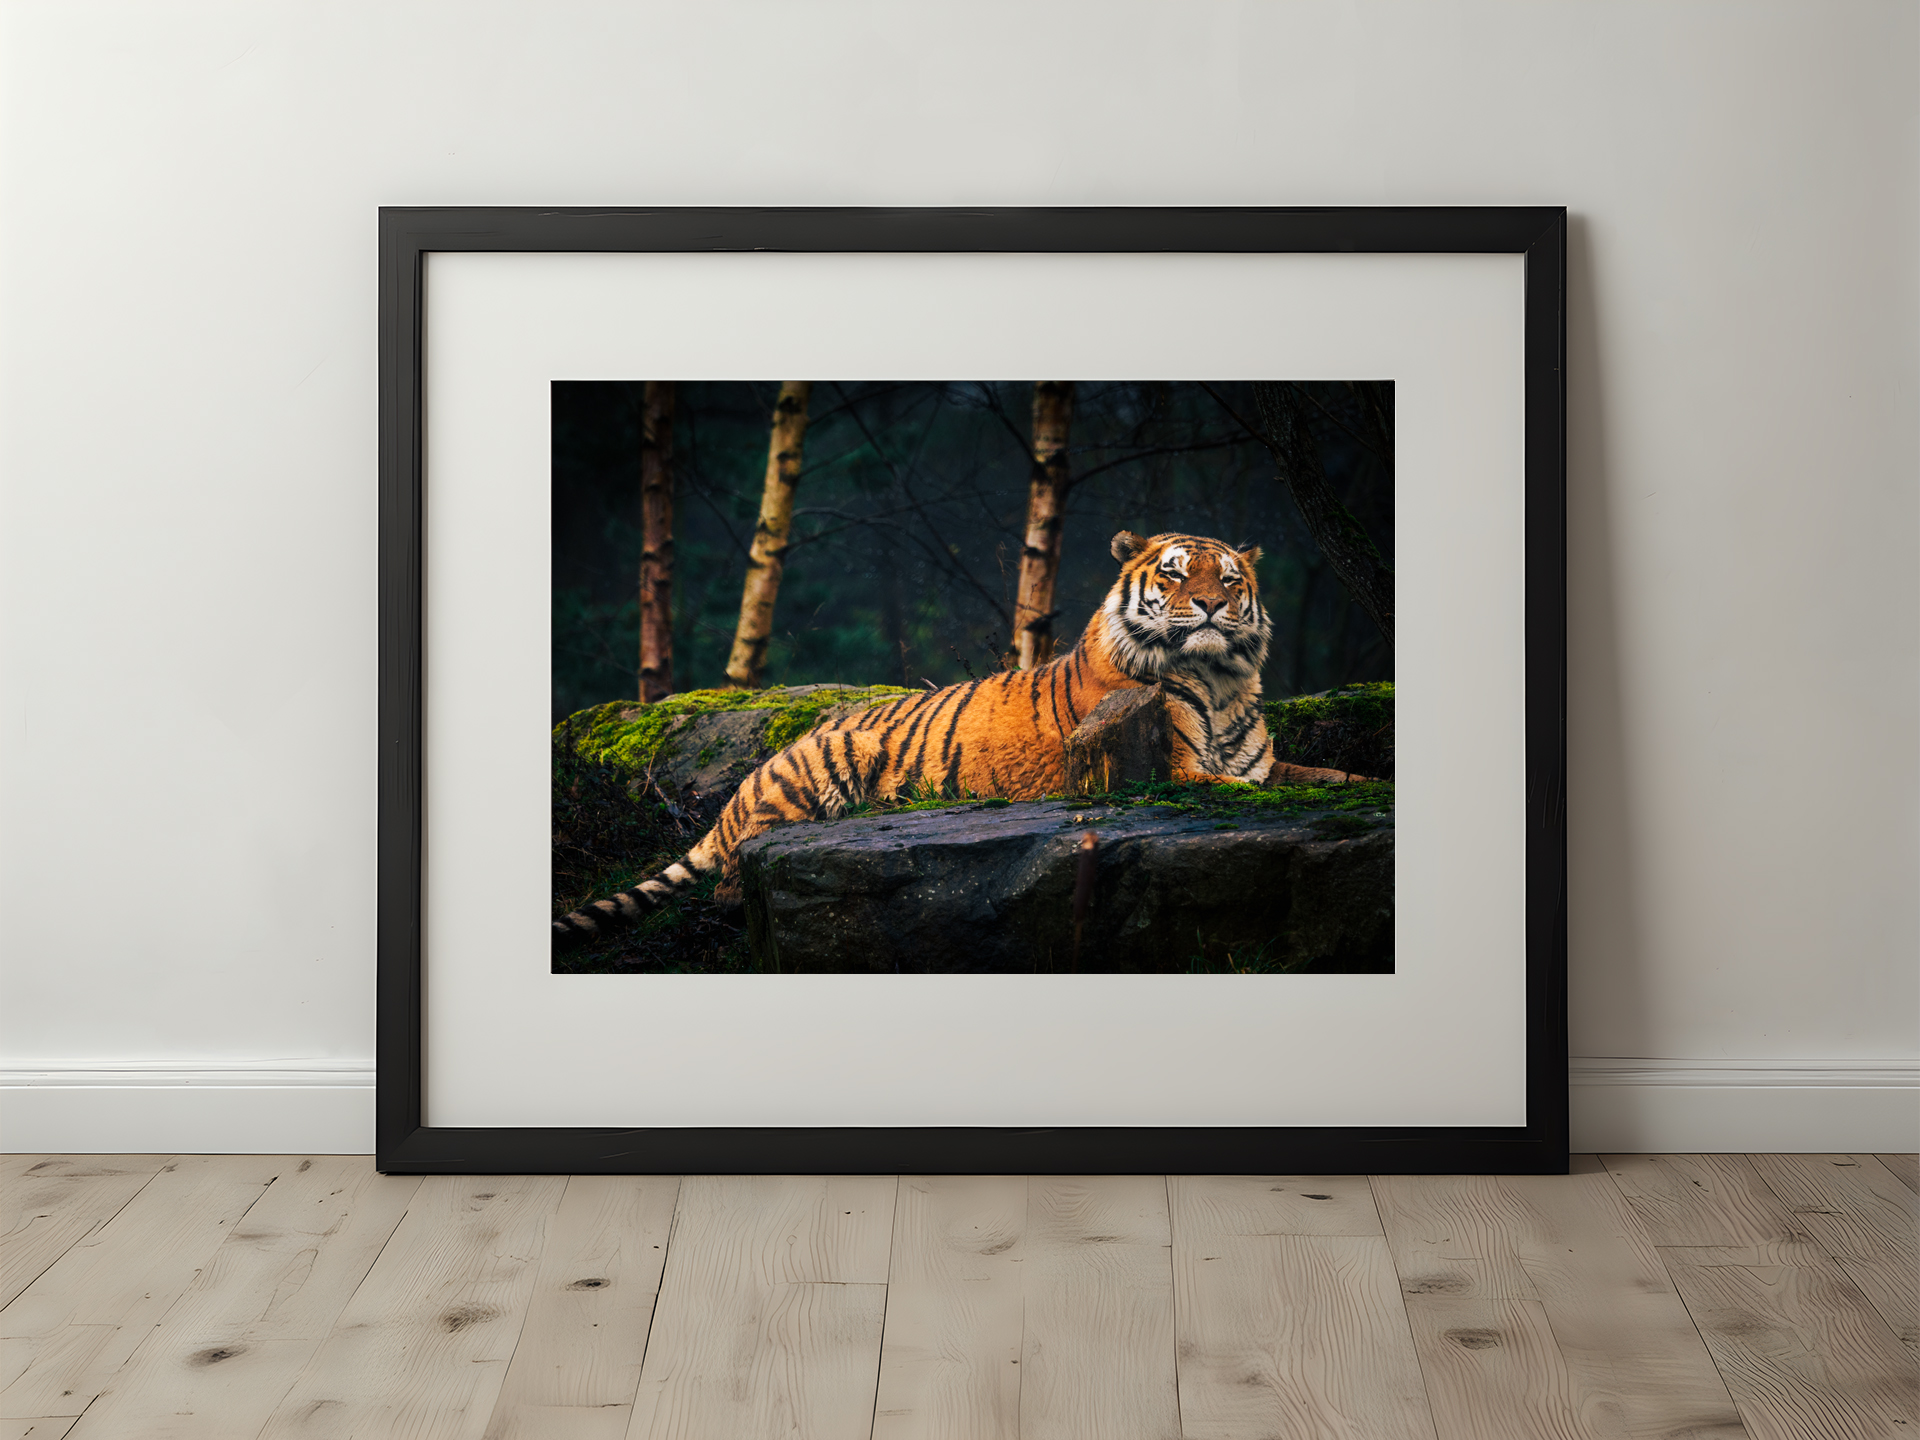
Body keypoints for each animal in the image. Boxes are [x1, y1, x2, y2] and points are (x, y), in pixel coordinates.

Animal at [552, 530, 1356, 950]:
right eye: (1176, 574)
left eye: (1231, 579)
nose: (1215, 606)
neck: (1221, 679)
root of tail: (739, 790)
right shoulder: (1177, 772)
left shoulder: (1269, 765)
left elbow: (1342, 778)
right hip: (820, 768)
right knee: (731, 879)